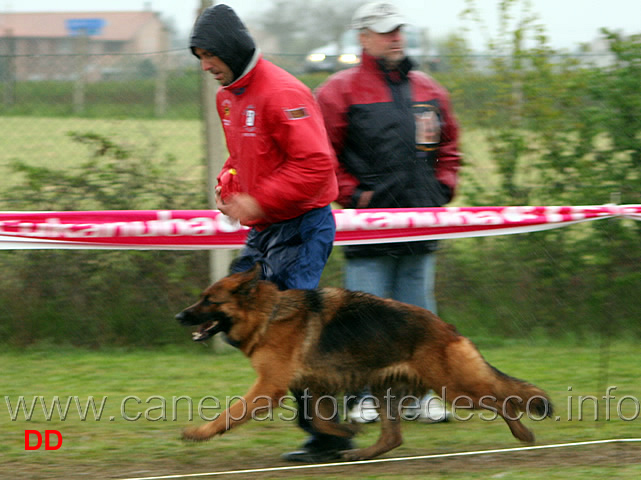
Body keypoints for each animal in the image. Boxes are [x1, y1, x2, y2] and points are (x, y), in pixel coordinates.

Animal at [174, 264, 552, 460]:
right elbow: (321, 420)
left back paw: (523, 432)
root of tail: (448, 329)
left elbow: (230, 413)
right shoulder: (314, 387)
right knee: (393, 437)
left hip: (455, 389)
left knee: (503, 400)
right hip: (389, 392)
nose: (179, 316)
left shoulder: (269, 387)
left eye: (209, 300)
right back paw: (361, 454)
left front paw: (199, 432)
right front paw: (347, 431)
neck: (268, 314)